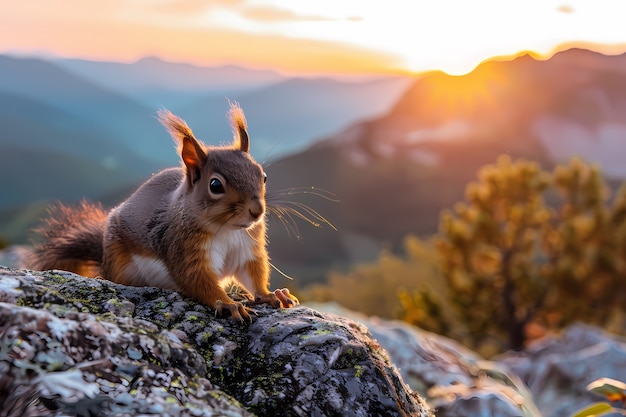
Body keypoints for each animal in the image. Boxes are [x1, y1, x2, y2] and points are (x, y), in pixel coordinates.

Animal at [30, 105, 298, 322]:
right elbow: (198, 282)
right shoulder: (184, 249)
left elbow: (253, 274)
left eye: (263, 176)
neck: (228, 230)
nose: (257, 211)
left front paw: (272, 294)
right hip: (118, 260)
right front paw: (230, 305)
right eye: (215, 185)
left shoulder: (247, 248)